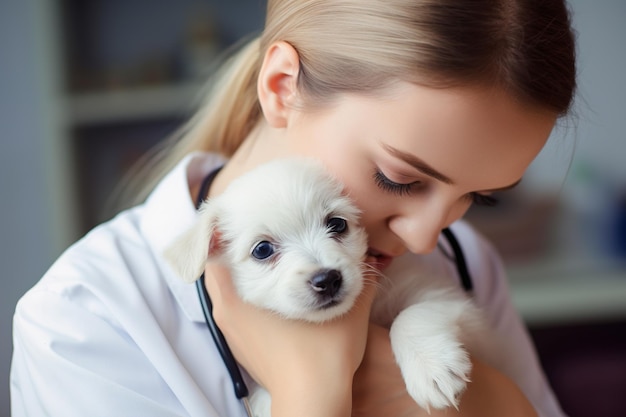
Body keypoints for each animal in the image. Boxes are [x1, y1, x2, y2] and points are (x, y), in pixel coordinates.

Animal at [165, 158, 488, 414]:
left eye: (337, 224)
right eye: (262, 250)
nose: (327, 279)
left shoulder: (448, 299)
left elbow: (410, 317)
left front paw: (431, 367)